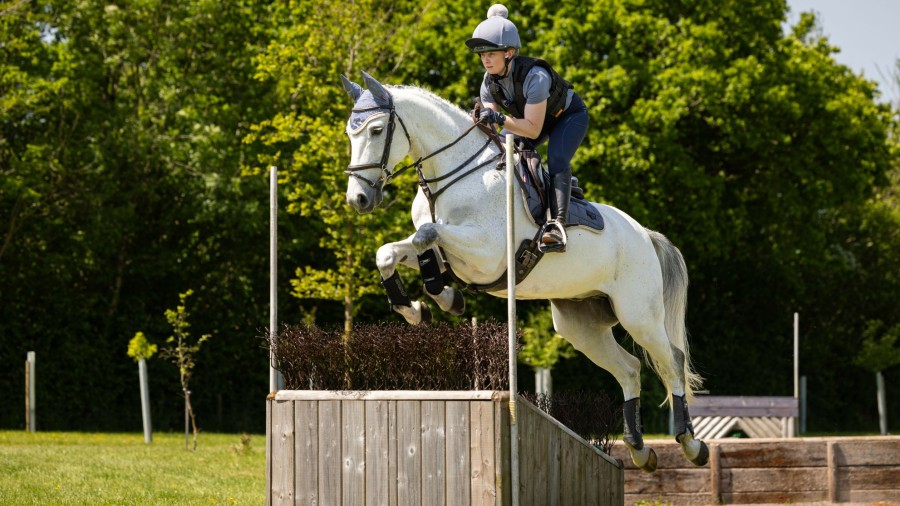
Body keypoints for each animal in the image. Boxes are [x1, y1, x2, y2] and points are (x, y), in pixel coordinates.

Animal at [342, 70, 708, 470]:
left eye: (377, 130)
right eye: (350, 133)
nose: (358, 200)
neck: (454, 177)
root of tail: (645, 234)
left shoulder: (487, 254)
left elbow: (428, 234)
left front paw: (442, 296)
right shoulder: (449, 250)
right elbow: (394, 251)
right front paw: (419, 307)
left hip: (638, 314)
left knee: (672, 361)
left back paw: (691, 443)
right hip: (580, 325)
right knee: (629, 369)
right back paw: (639, 448)